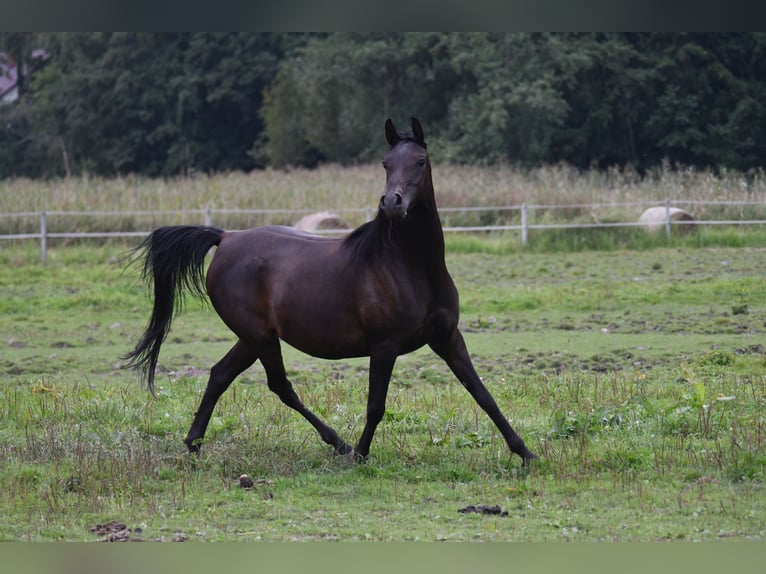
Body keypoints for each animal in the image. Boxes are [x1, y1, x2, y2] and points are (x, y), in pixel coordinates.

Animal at [123, 117, 536, 468]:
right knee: (280, 386)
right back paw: (339, 444)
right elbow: (376, 405)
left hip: (252, 338)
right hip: (260, 337)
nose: (392, 203)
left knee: (220, 375)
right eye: (386, 163)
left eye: (420, 161)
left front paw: (525, 452)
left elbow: (481, 393)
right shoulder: (384, 346)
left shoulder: (447, 337)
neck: (410, 267)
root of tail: (226, 238)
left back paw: (194, 443)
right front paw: (362, 455)